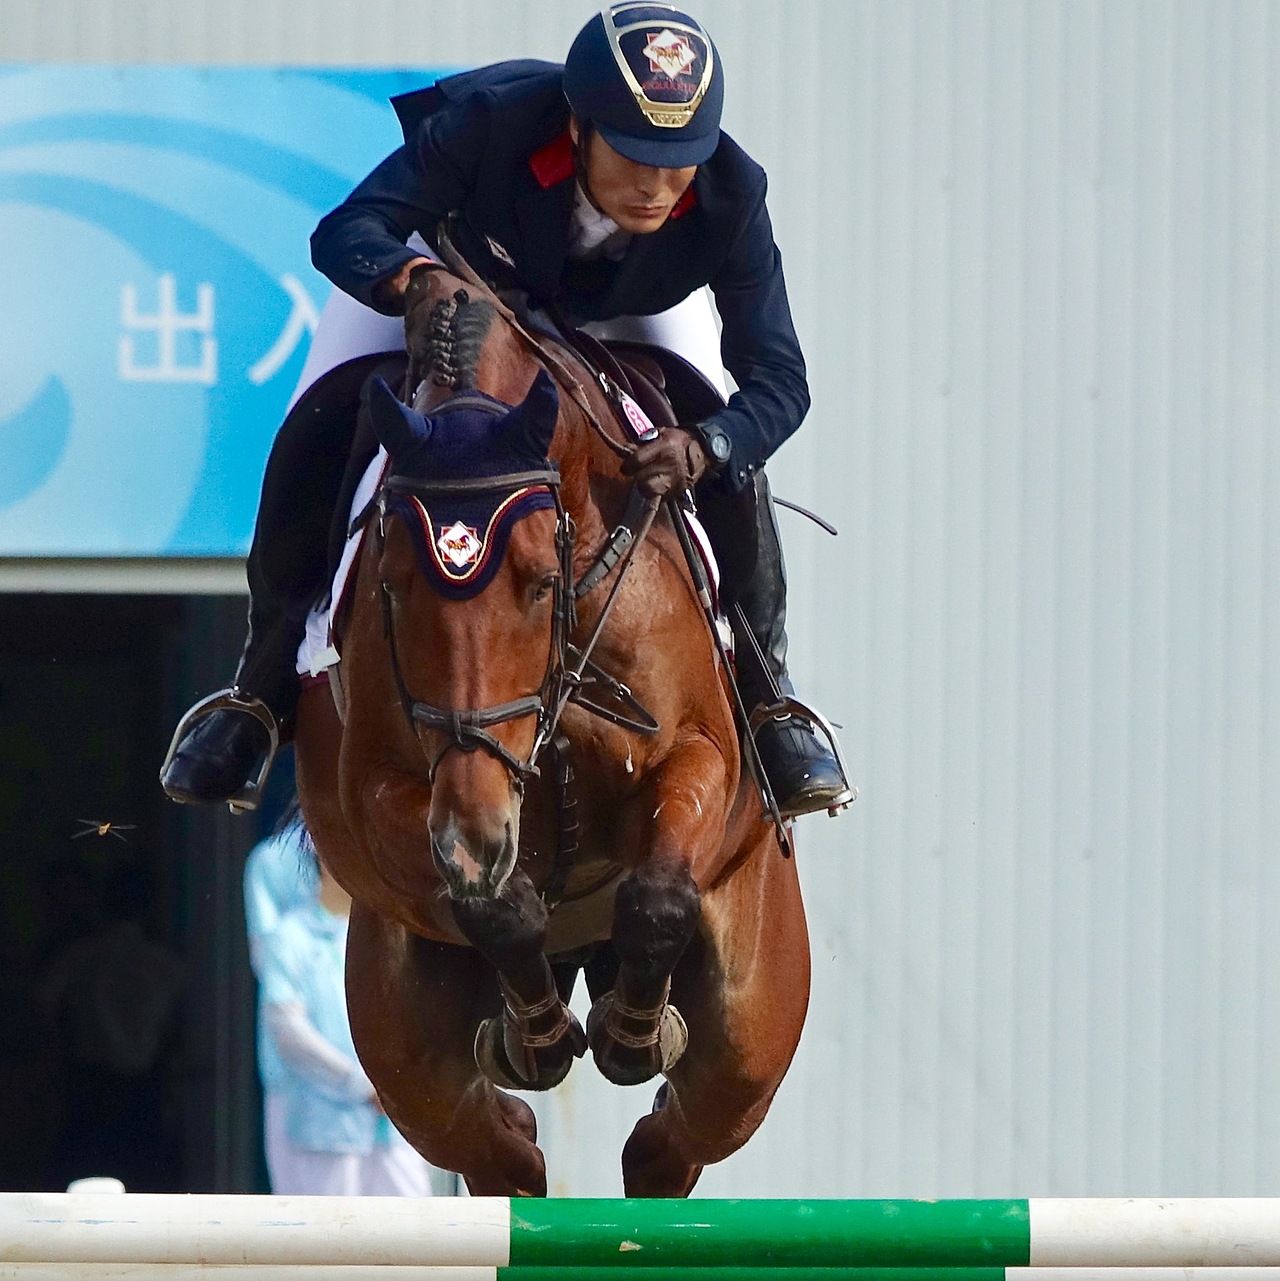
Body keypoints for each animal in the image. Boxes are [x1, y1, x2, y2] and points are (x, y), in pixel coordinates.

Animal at [293, 262, 811, 1197]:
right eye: (393, 583)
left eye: (539, 581)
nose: (475, 837)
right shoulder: (382, 794)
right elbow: (498, 906)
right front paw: (533, 1030)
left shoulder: (700, 754)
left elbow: (657, 890)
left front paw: (632, 1033)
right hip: (400, 1040)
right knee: (496, 1143)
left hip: (755, 1014)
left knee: (681, 1129)